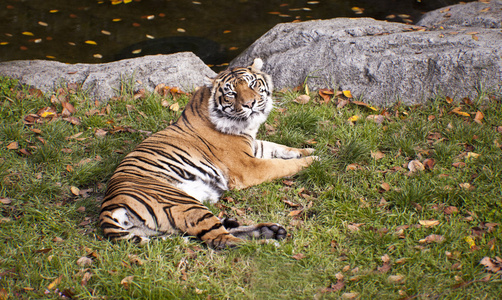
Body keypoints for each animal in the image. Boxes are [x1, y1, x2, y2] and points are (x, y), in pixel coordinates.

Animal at [99, 58, 316, 248]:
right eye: (232, 93)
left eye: (253, 84)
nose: (250, 104)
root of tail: (108, 209)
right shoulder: (248, 167)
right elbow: (282, 164)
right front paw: (315, 160)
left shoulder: (254, 146)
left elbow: (279, 148)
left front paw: (309, 149)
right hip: (183, 203)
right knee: (220, 240)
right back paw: (267, 243)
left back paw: (271, 230)